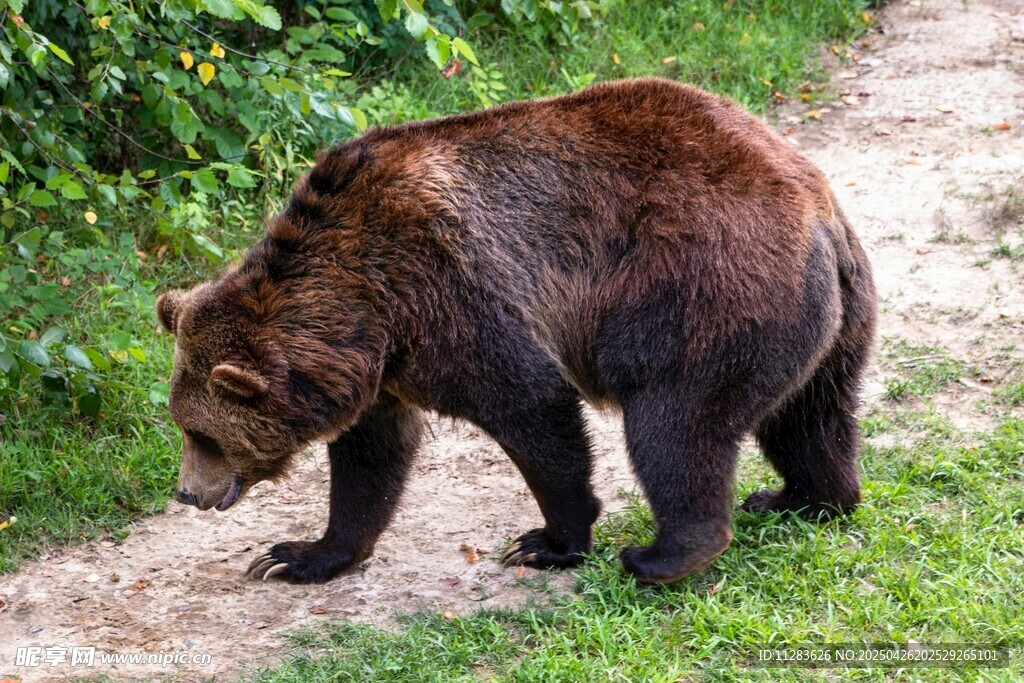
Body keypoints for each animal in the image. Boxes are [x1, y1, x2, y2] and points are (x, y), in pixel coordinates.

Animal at [157, 78, 876, 585]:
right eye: (184, 426)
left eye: (203, 433)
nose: (187, 492)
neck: (360, 305)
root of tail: (817, 208)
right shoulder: (382, 364)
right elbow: (371, 457)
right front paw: (298, 554)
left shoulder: (449, 292)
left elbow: (532, 406)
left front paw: (549, 541)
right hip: (828, 320)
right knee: (810, 416)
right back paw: (800, 498)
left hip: (703, 292)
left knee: (677, 424)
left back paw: (663, 553)